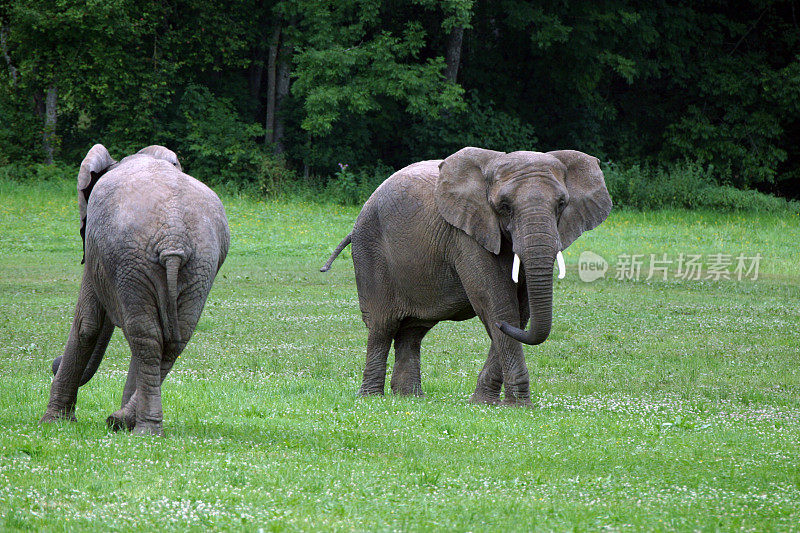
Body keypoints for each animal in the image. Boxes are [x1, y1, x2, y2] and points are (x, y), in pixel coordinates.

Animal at [41, 143, 230, 434]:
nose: (53, 363)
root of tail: (174, 235)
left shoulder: (98, 253)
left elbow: (87, 324)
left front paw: (53, 422)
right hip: (199, 263)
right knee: (169, 340)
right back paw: (126, 421)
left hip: (131, 258)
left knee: (146, 337)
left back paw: (134, 427)